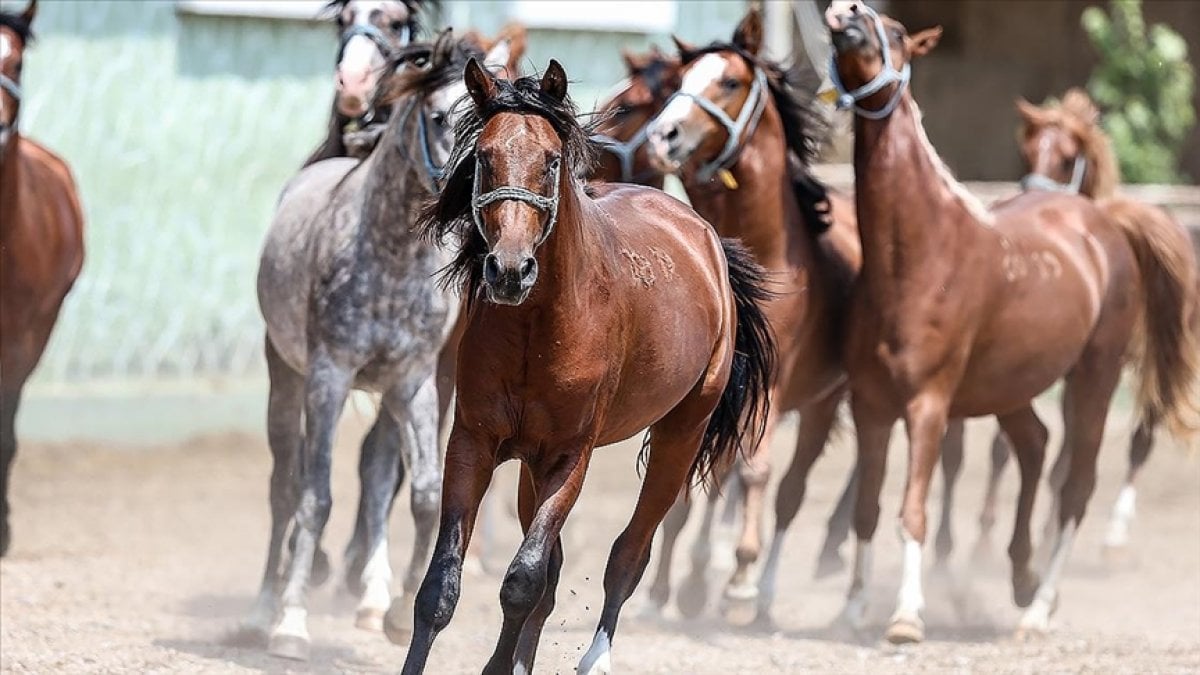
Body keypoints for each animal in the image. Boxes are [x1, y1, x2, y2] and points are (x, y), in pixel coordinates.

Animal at [238, 32, 511, 658]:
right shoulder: (330, 377)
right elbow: (315, 498)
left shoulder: (413, 384)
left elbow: (426, 495)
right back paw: (264, 608)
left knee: (379, 473)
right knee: (285, 486)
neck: (389, 258)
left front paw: (396, 614)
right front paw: (291, 623)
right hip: (287, 379)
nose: (479, 208)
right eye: (438, 117)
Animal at [400, 59, 777, 672]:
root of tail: (705, 237)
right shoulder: (474, 444)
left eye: (551, 160)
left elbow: (523, 581)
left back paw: (594, 658)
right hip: (530, 463)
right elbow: (444, 587)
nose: (509, 270)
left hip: (681, 434)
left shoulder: (568, 458)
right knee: (556, 574)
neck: (539, 328)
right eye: (483, 157)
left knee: (629, 554)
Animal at [648, 9, 864, 619]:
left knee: (788, 490)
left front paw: (740, 576)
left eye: (729, 81)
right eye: (679, 80)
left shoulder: (774, 381)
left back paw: (756, 586)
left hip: (822, 402)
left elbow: (756, 472)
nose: (663, 135)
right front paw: (668, 585)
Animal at [825, 0, 1200, 638]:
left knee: (1075, 486)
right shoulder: (871, 406)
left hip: (1094, 377)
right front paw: (851, 611)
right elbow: (868, 510)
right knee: (1034, 445)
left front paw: (905, 616)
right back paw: (1022, 578)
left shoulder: (929, 404)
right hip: (1012, 386)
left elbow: (912, 509)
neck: (915, 259)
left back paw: (1041, 606)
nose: (846, 15)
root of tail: (1104, 223)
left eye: (895, 32)